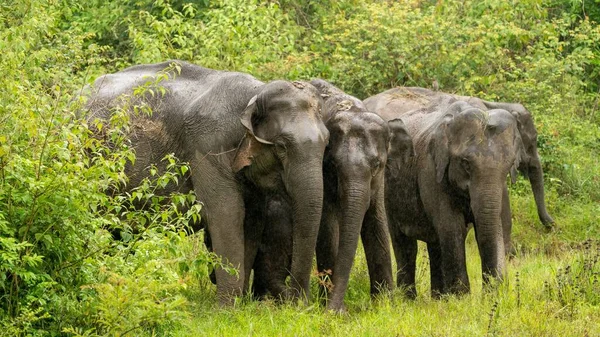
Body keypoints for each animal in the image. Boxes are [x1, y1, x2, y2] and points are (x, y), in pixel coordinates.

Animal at [85, 60, 330, 304]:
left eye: (327, 142)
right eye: (281, 146)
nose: (299, 303)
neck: (255, 93)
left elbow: (251, 219)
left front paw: (240, 303)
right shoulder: (206, 146)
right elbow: (226, 212)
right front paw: (226, 308)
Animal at [364, 92, 524, 296]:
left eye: (509, 164)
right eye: (465, 163)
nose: (490, 291)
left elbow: (495, 225)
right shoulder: (431, 170)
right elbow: (451, 226)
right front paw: (462, 297)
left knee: (435, 244)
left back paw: (439, 297)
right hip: (388, 194)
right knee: (406, 245)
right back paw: (409, 298)